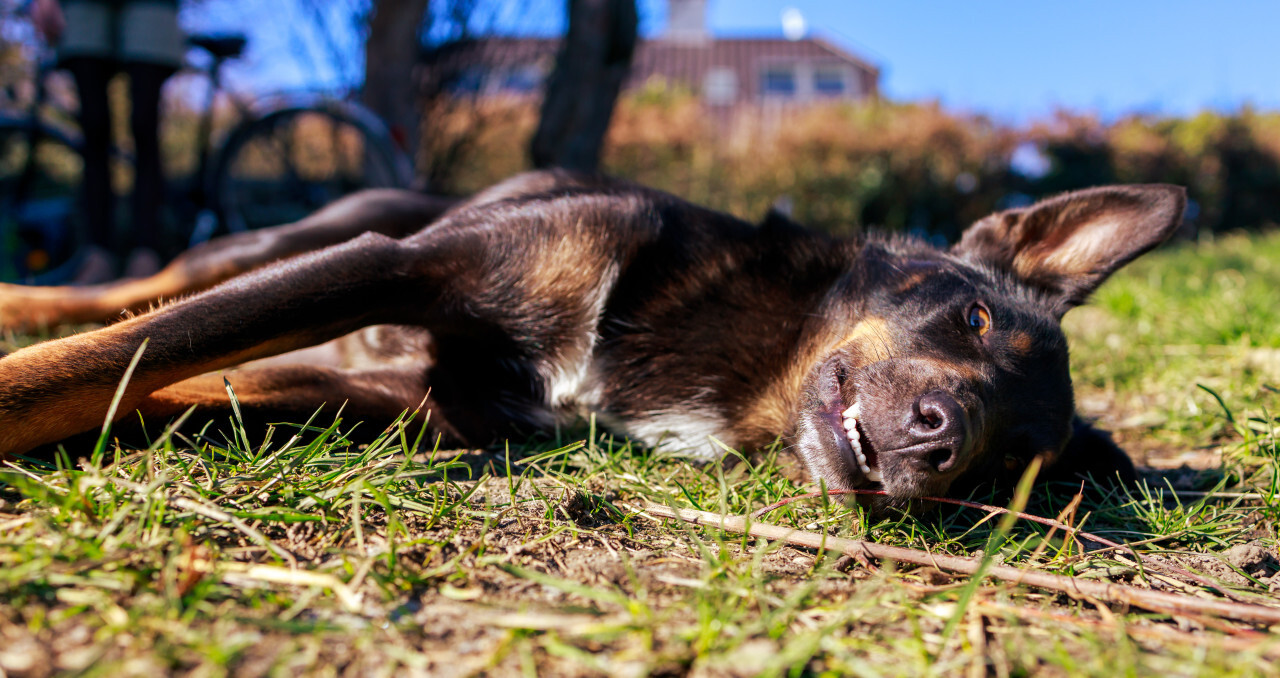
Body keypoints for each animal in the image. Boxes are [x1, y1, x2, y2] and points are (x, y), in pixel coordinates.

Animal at [0, 172, 1182, 501]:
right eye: (974, 316)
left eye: (1009, 465)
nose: (941, 441)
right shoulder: (398, 265)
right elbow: (86, 362)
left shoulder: (398, 410)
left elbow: (121, 388)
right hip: (315, 233)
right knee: (139, 289)